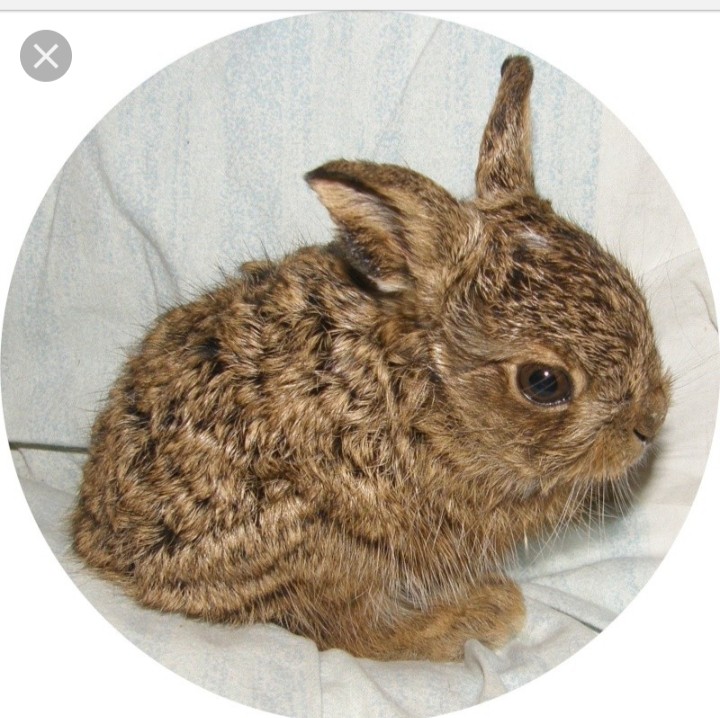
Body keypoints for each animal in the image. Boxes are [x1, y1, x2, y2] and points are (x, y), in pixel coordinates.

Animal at [72, 55, 670, 662]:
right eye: (544, 383)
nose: (650, 422)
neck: (430, 395)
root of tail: (101, 546)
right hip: (324, 550)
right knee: (349, 633)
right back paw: (479, 614)